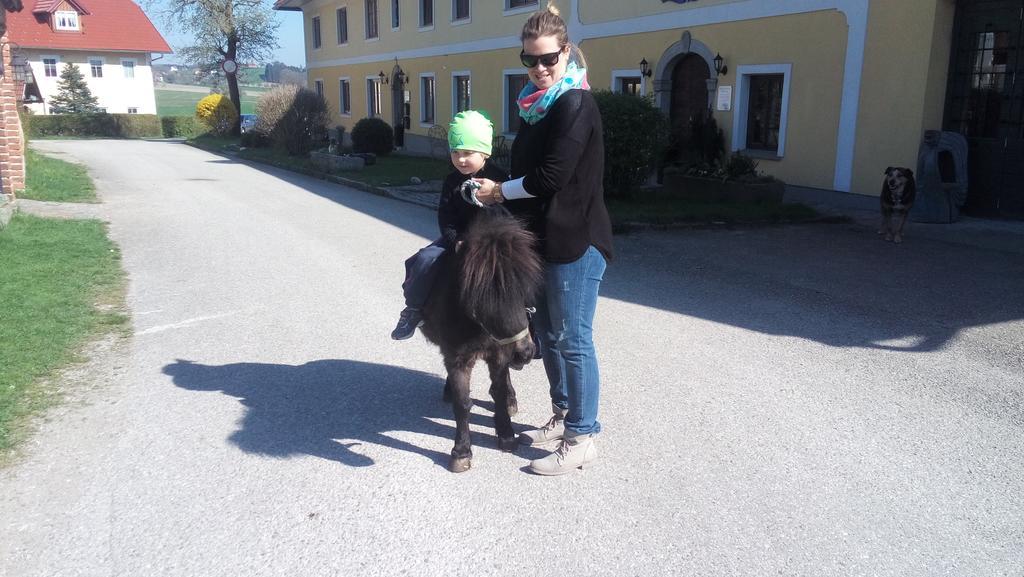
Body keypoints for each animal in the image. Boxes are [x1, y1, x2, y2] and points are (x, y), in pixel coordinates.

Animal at [415, 210, 544, 471]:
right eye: (482, 293)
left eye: (523, 288)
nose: (525, 352)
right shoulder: (457, 358)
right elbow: (463, 403)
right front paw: (462, 451)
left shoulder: (500, 354)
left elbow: (500, 391)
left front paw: (506, 435)